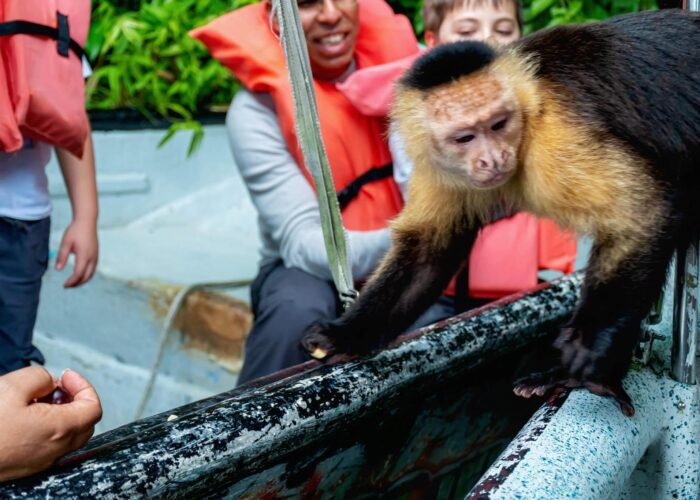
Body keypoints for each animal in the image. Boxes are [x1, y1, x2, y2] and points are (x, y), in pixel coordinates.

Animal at [301, 9, 700, 416]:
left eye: (498, 124)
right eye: (465, 138)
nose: (493, 159)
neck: (527, 113)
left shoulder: (555, 138)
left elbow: (640, 214)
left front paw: (592, 345)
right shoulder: (437, 163)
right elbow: (428, 252)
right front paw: (345, 334)